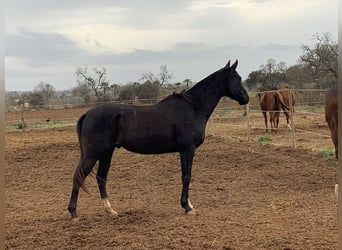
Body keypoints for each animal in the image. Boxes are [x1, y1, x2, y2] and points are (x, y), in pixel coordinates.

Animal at [67, 60, 248, 219]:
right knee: (78, 176)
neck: (192, 107)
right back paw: (73, 213)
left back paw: (110, 210)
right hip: (94, 154)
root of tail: (88, 113)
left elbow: (186, 175)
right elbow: (186, 176)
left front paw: (189, 204)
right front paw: (187, 207)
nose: (246, 98)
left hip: (107, 152)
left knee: (101, 178)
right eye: (237, 78)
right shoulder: (187, 149)